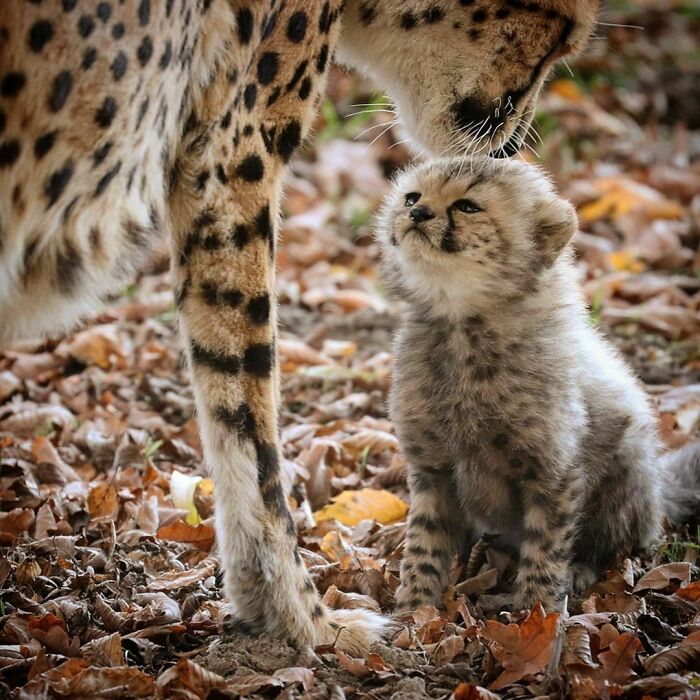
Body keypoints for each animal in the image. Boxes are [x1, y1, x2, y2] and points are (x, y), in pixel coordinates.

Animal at [376, 156, 700, 613]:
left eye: (468, 206)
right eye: (411, 197)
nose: (417, 214)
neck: (461, 323)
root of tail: (658, 486)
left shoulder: (554, 472)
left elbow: (546, 547)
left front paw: (538, 612)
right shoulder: (432, 470)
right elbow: (424, 542)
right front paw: (413, 611)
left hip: (628, 464)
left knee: (617, 542)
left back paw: (580, 571)